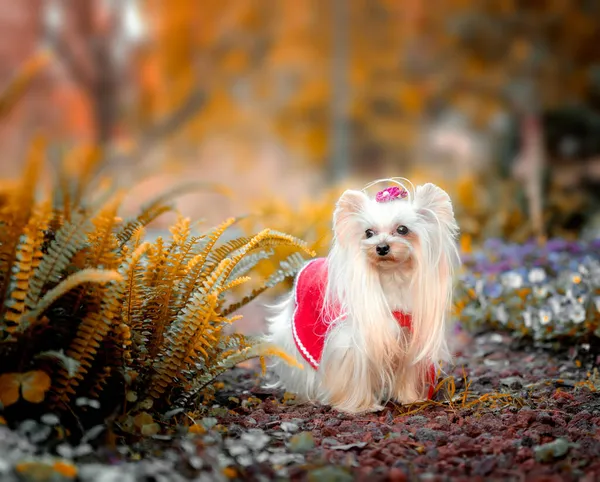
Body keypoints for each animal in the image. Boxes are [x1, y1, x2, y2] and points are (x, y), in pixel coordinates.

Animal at [264, 179, 462, 412]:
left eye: (402, 229)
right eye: (368, 233)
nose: (382, 247)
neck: (392, 277)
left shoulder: (410, 335)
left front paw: (410, 398)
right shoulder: (351, 342)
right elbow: (352, 373)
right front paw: (359, 406)